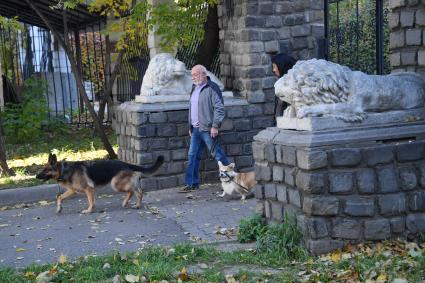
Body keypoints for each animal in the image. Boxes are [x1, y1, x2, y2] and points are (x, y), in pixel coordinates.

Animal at [36, 154, 164, 214]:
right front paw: (59, 209)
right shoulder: (72, 190)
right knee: (134, 191)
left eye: (45, 170)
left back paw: (137, 205)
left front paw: (89, 211)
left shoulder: (88, 189)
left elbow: (91, 201)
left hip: (115, 184)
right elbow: (59, 197)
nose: (36, 176)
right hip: (118, 184)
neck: (64, 170)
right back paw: (126, 203)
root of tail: (126, 164)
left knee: (137, 191)